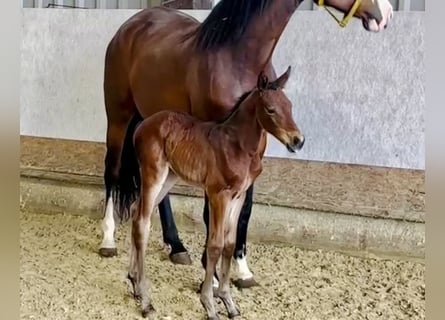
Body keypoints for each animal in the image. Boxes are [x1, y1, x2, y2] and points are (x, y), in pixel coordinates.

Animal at [100, 0, 392, 288]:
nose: (385, 14)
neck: (237, 56)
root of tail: (132, 25)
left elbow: (245, 210)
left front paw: (241, 269)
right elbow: (210, 211)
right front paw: (212, 275)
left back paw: (177, 247)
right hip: (118, 117)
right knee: (112, 171)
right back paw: (108, 239)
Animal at [119, 69, 304, 318]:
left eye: (290, 106)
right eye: (270, 109)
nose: (298, 141)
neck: (238, 146)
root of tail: (142, 124)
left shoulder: (239, 196)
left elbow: (229, 244)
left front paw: (229, 303)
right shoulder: (218, 194)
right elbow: (215, 245)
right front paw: (208, 304)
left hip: (169, 177)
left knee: (136, 212)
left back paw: (135, 284)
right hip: (153, 174)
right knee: (142, 222)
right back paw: (146, 302)